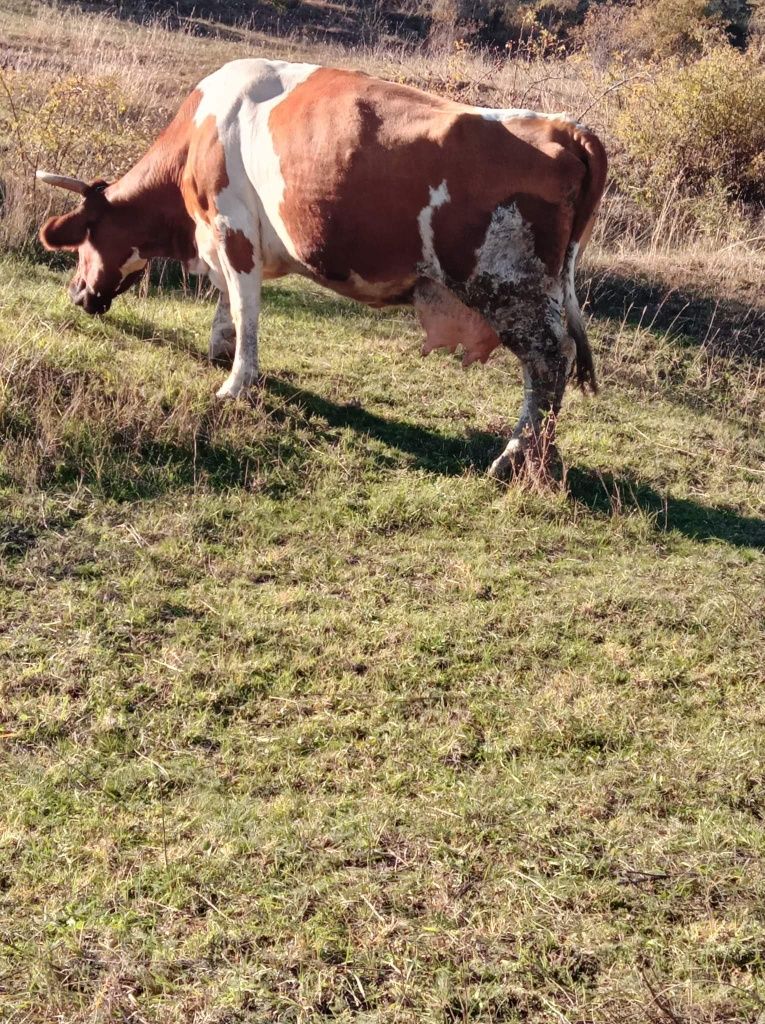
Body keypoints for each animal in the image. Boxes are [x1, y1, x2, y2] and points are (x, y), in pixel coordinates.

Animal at [38, 58, 606, 479]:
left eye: (84, 241)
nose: (76, 292)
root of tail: (563, 126)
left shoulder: (232, 228)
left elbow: (246, 310)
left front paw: (236, 382)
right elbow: (228, 304)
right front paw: (220, 349)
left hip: (508, 287)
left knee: (547, 362)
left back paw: (516, 457)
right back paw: (543, 458)